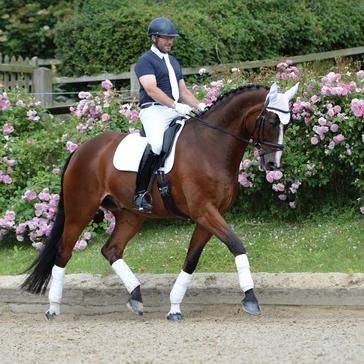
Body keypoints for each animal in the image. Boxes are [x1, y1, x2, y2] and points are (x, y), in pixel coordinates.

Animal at [20, 82, 298, 322]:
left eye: (287, 123)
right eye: (272, 121)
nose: (273, 164)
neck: (210, 145)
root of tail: (81, 149)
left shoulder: (208, 216)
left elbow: (191, 259)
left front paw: (174, 307)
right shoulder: (204, 211)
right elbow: (236, 245)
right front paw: (251, 299)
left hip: (131, 215)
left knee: (111, 250)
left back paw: (136, 297)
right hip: (81, 210)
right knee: (64, 252)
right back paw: (53, 308)